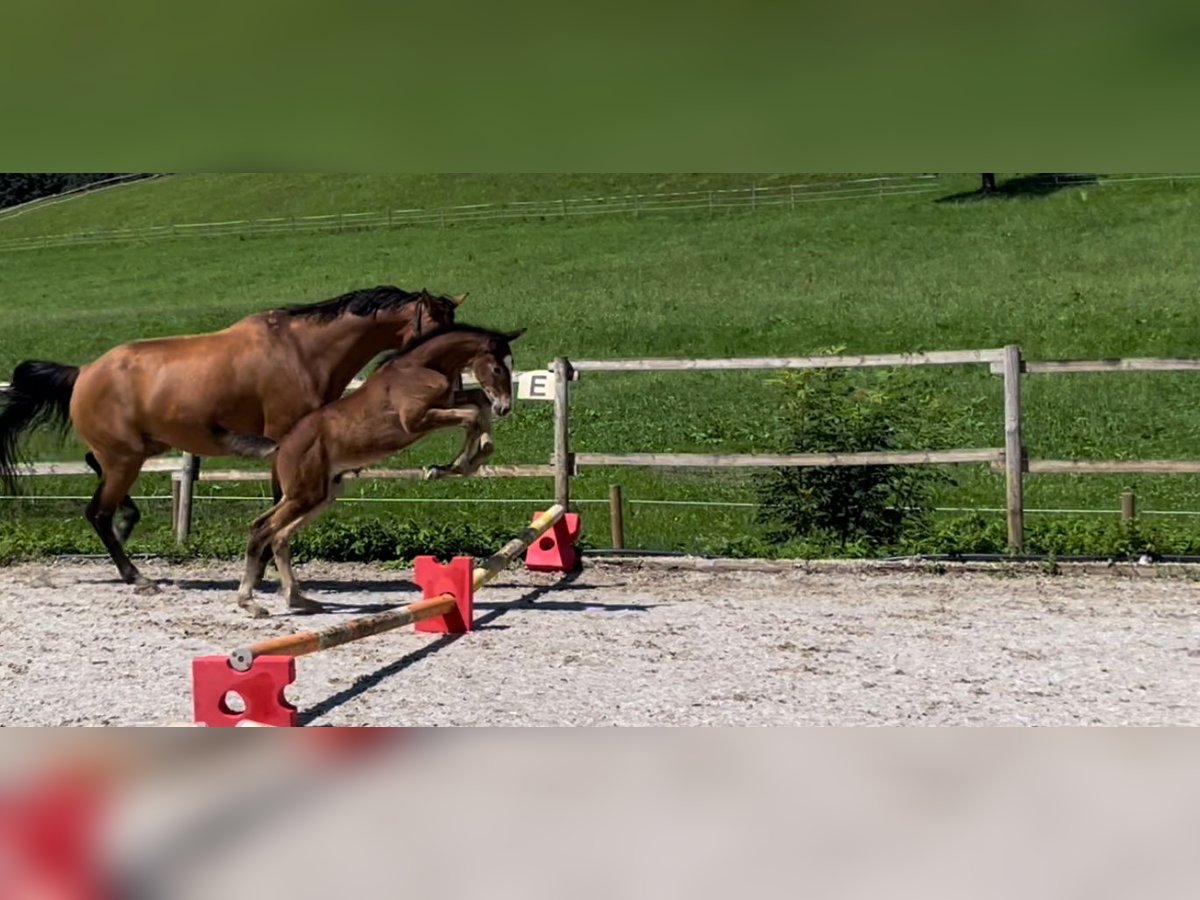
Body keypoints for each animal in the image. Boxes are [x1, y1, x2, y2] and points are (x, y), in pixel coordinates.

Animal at [0, 285, 460, 588]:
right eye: (435, 330)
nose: (450, 388)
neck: (303, 352)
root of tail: (82, 373)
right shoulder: (285, 443)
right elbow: (280, 502)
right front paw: (269, 563)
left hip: (135, 451)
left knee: (96, 479)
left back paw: (128, 528)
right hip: (126, 458)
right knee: (97, 511)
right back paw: (135, 574)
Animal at [236, 324, 523, 619]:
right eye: (498, 368)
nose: (505, 407)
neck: (420, 368)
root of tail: (281, 447)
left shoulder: (449, 401)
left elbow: (478, 404)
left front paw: (461, 463)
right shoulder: (416, 419)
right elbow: (473, 416)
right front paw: (453, 466)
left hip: (321, 495)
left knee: (280, 536)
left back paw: (297, 598)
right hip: (304, 494)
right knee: (261, 529)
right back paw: (250, 602)